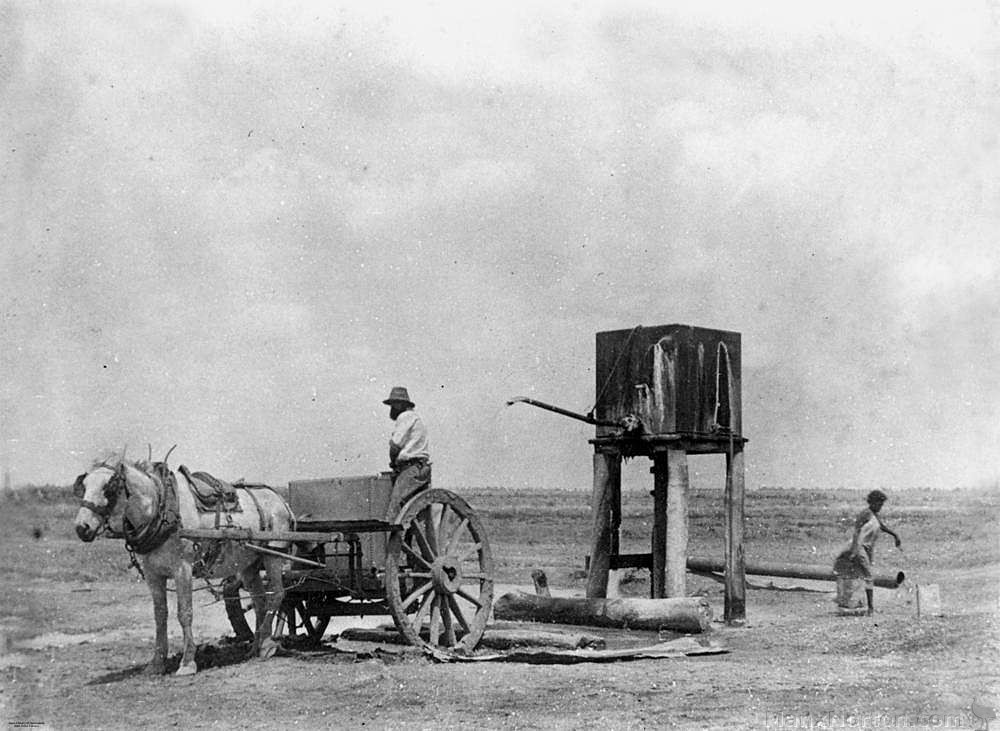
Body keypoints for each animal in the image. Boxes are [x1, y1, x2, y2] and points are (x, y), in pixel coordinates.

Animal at [73, 460, 292, 676]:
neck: (161, 510)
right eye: (84, 486)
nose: (82, 527)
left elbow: (184, 613)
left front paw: (187, 662)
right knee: (260, 601)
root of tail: (280, 500)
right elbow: (160, 615)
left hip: (273, 555)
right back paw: (257, 645)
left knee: (277, 594)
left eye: (109, 487)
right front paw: (156, 663)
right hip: (249, 564)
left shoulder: (182, 569)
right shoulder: (153, 574)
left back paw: (267, 645)